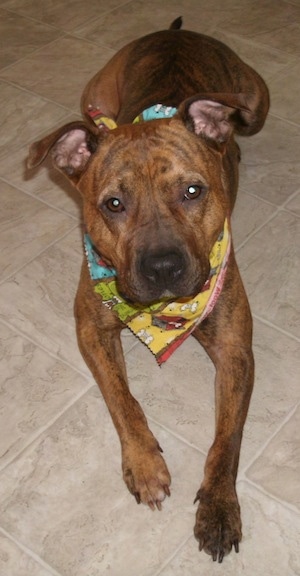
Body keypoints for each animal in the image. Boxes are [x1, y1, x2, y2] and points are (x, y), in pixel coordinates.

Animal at [27, 18, 270, 564]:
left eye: (193, 191)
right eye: (113, 204)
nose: (162, 267)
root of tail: (175, 31)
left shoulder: (234, 349)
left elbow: (227, 439)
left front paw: (218, 508)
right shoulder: (91, 327)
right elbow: (123, 399)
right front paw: (145, 465)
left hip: (255, 101)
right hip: (92, 96)